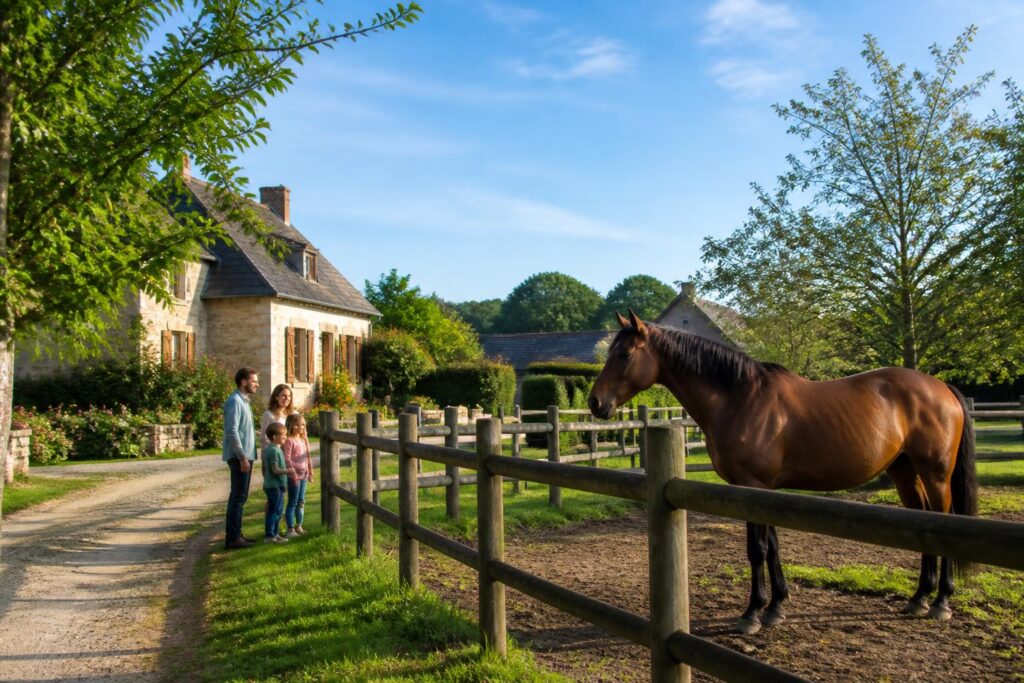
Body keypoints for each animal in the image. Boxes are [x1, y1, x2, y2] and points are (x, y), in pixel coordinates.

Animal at [588, 310, 977, 635]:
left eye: (625, 355)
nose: (595, 403)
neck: (741, 398)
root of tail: (942, 388)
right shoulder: (764, 490)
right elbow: (773, 546)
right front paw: (776, 606)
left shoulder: (753, 485)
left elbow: (757, 548)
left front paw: (752, 613)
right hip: (904, 473)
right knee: (923, 523)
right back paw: (919, 597)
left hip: (935, 474)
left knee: (946, 520)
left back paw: (941, 601)